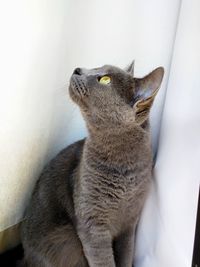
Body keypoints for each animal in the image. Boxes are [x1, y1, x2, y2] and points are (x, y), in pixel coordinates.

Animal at [20, 61, 164, 267]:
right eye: (98, 68)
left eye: (105, 79)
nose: (78, 69)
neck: (123, 171)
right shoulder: (93, 225)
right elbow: (104, 261)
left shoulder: (130, 222)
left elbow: (126, 255)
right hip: (66, 240)